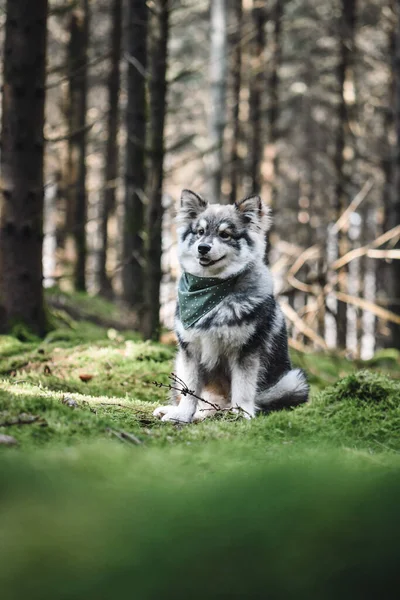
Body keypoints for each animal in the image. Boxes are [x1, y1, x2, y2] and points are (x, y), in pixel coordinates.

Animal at [153, 190, 310, 424]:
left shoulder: (246, 351)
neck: (212, 289)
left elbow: (243, 388)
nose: (203, 248)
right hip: (179, 364)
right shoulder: (190, 351)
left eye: (225, 234)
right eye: (200, 232)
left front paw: (242, 414)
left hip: (294, 381)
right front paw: (181, 415)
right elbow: (189, 390)